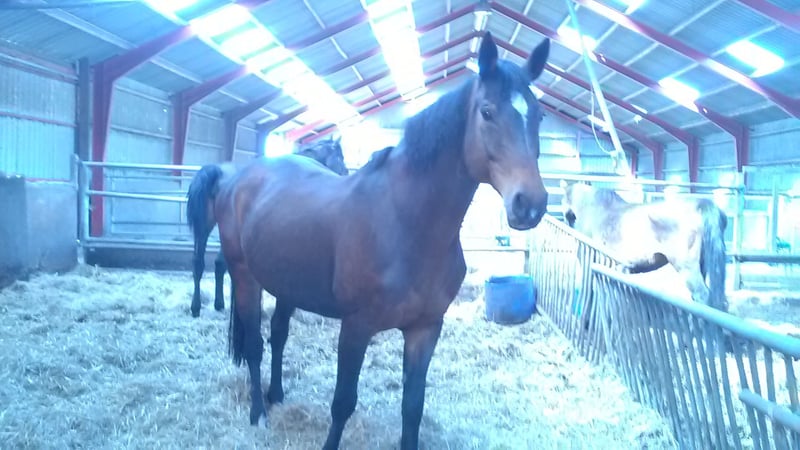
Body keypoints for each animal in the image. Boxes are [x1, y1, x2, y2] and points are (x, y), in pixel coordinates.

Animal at [185, 137, 348, 318]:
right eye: (340, 157)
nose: (346, 172)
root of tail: (217, 171)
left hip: (208, 227)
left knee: (205, 263)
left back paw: (211, 305)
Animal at [560, 180, 728, 313]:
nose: (567, 220)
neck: (594, 210)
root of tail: (702, 204)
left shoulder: (588, 262)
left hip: (687, 268)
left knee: (703, 296)